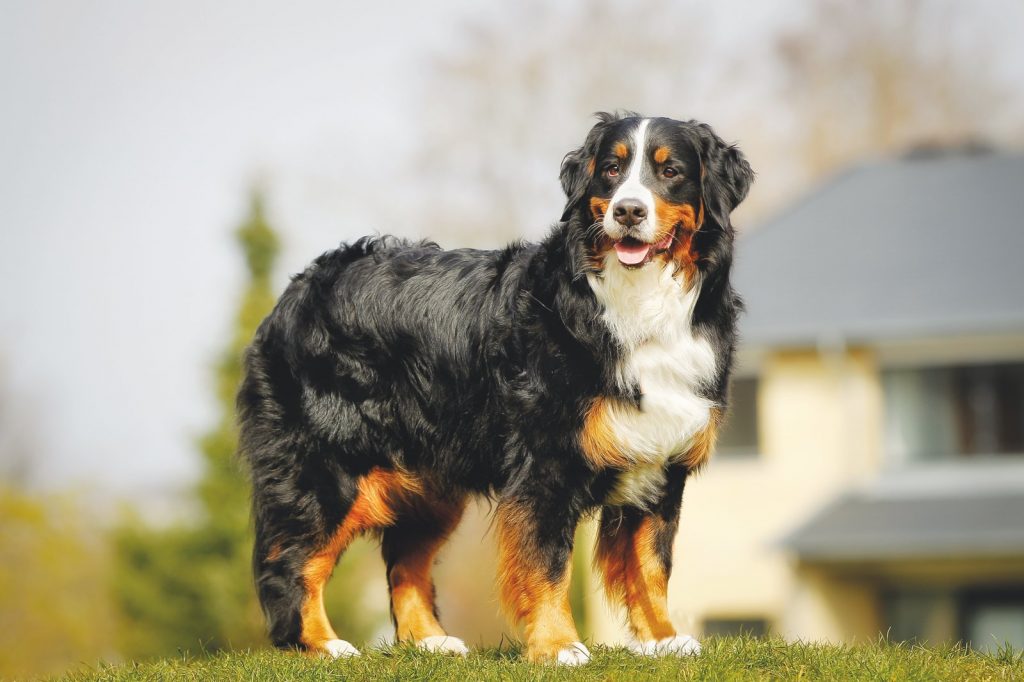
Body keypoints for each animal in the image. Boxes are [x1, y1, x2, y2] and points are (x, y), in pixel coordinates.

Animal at [237, 112, 753, 663]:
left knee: (405, 560)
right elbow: (548, 562)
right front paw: (558, 645)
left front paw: (663, 639)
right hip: (327, 468)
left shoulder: (661, 462)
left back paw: (430, 641)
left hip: (430, 482)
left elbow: (653, 565)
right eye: (611, 170)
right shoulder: (546, 464)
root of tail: (299, 288)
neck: (637, 304)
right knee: (292, 561)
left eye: (670, 170)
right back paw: (321, 645)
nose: (629, 211)